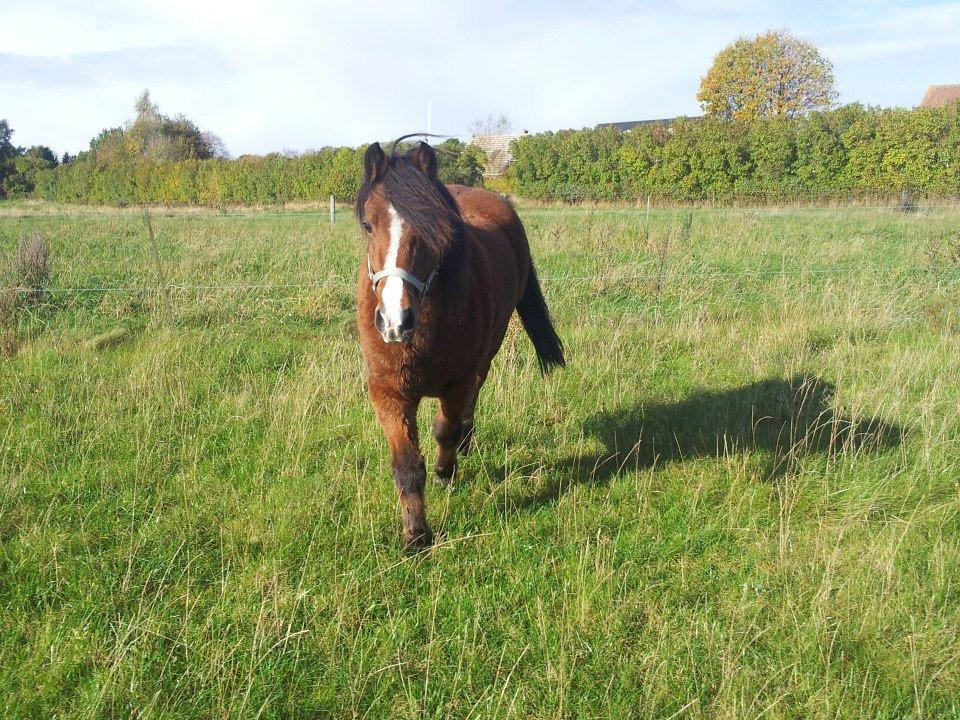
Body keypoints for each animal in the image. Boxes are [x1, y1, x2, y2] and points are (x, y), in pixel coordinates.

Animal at [354, 138, 564, 548]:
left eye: (434, 228)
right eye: (368, 225)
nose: (394, 321)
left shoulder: (458, 382)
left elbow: (445, 429)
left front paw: (444, 473)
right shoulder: (388, 390)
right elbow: (406, 465)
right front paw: (416, 535)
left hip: (488, 352)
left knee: (472, 397)